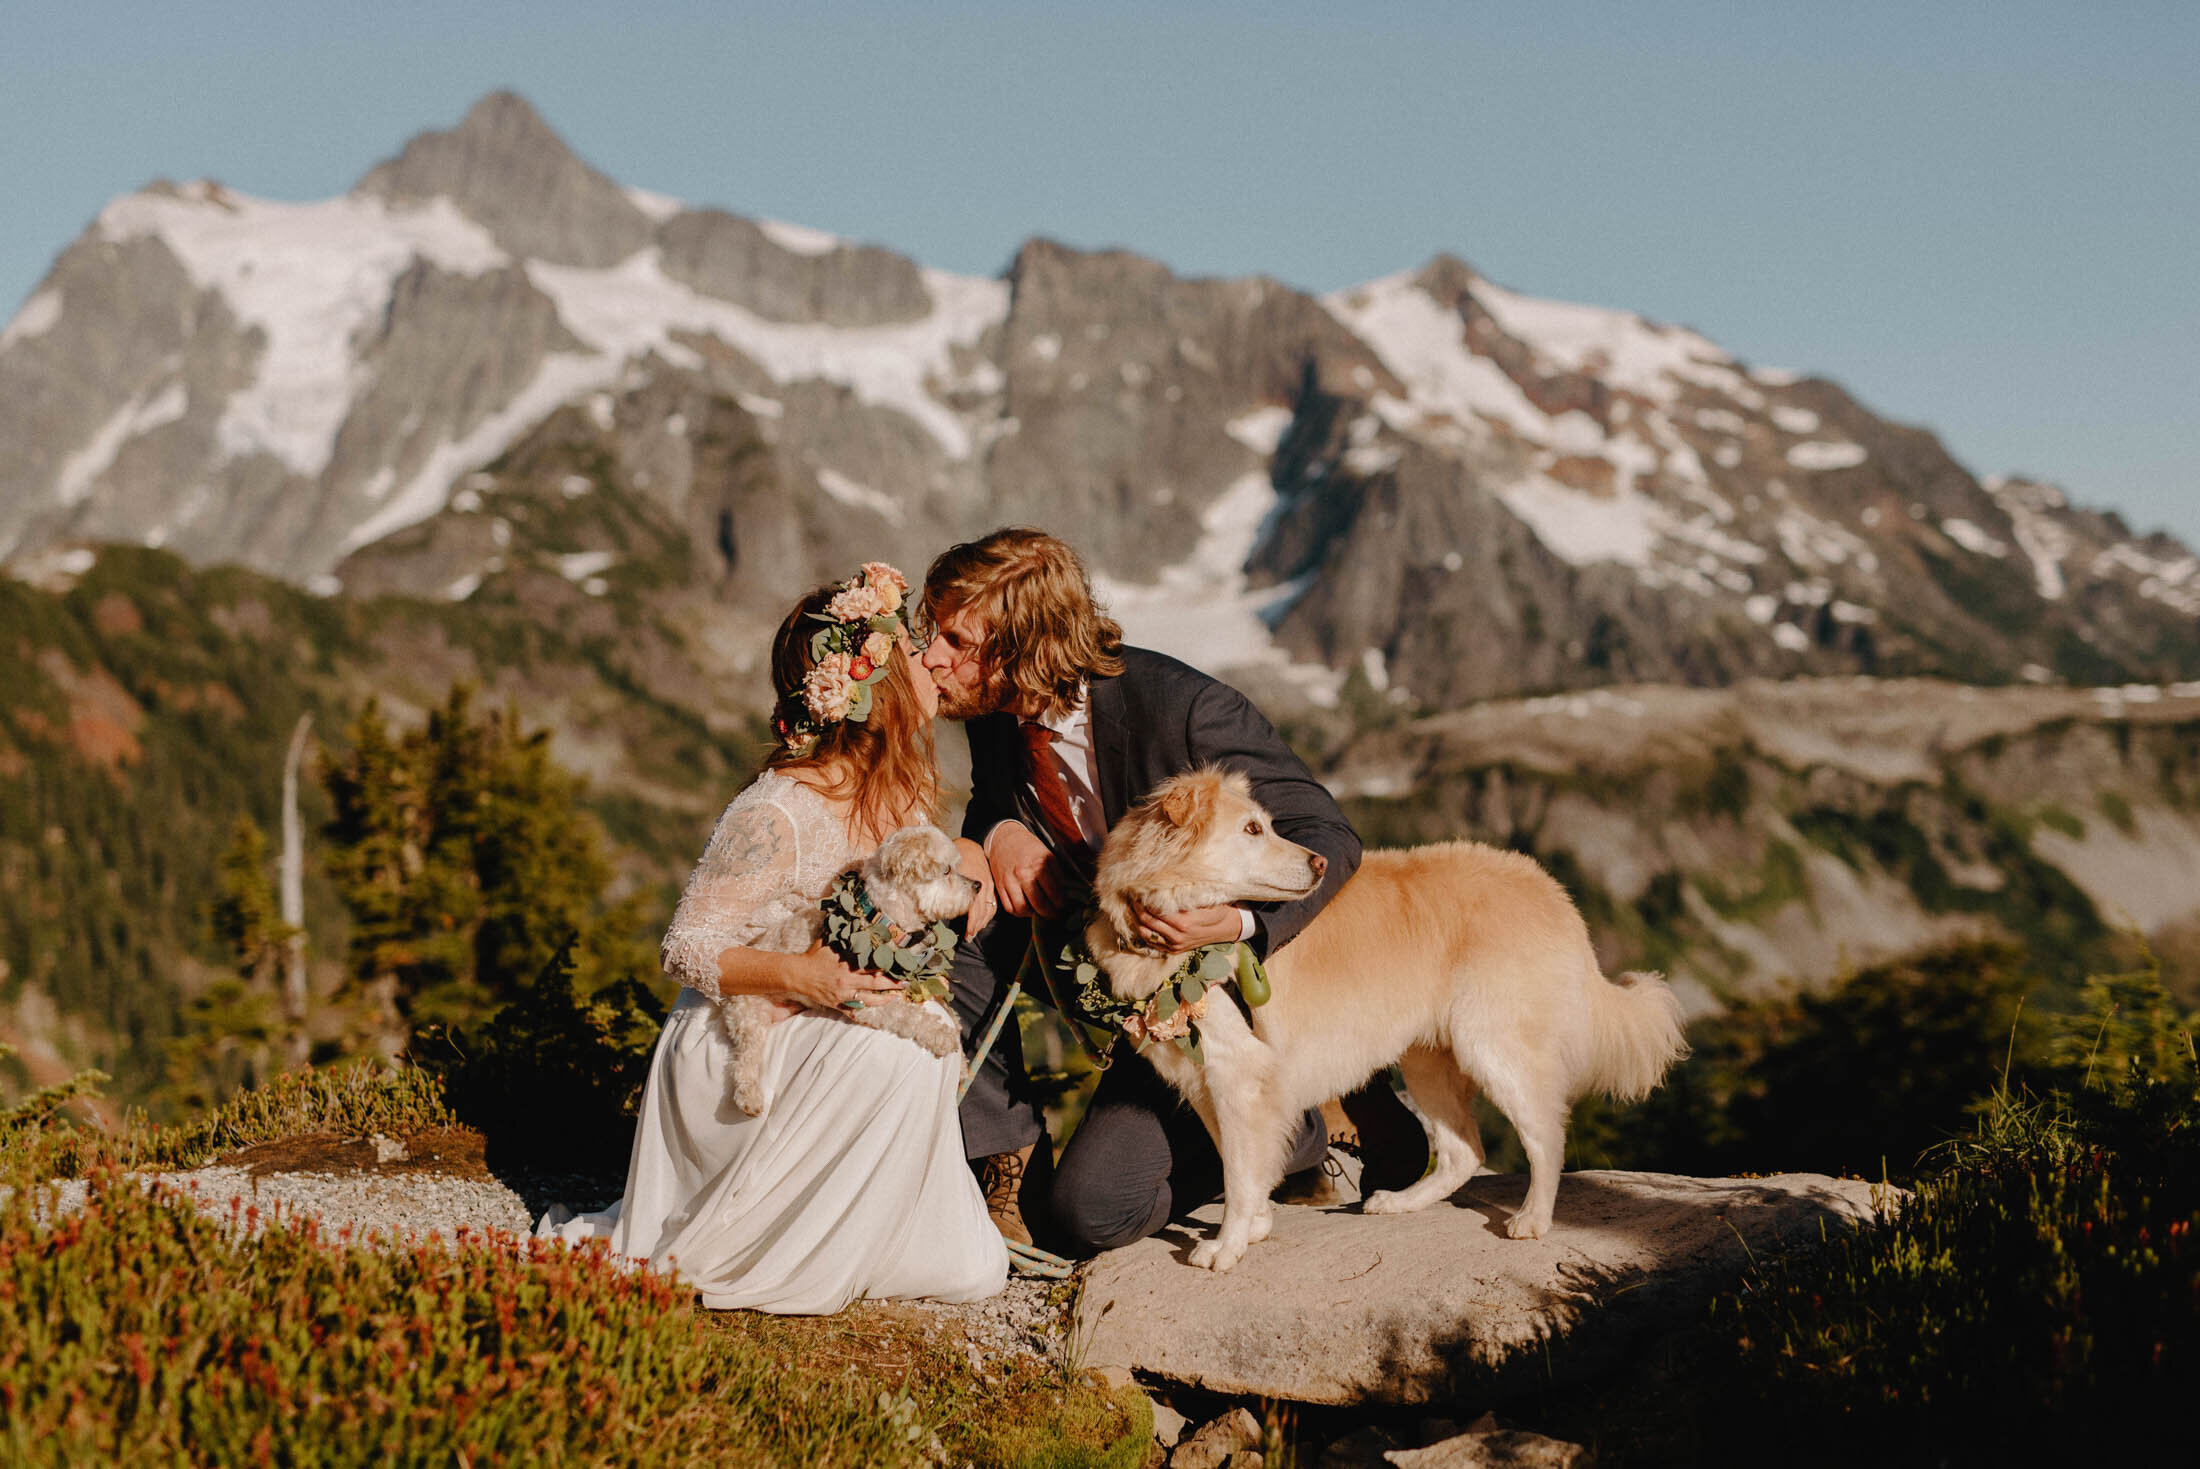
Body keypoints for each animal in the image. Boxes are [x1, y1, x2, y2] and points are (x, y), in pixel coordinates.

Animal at [712, 826, 972, 1112]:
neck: (885, 922)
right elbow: (908, 1015)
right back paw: (749, 1096)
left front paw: (962, 1064)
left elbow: (950, 1012)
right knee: (744, 1058)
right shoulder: (865, 1001)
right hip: (748, 1013)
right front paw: (940, 1035)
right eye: (947, 871)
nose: (978, 886)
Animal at [1091, 769, 1689, 1275]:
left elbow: (1237, 1176)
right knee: (1464, 1151)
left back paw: (1532, 1219)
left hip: (1493, 1047)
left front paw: (1227, 1246)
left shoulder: (1239, 1078)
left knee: (1546, 1136)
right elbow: (1241, 1164)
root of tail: (1548, 888)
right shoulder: (1206, 1084)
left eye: (1267, 824)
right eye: (1252, 828)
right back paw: (1402, 1202)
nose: (1320, 865)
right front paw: (1256, 1225)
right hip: (1428, 1061)